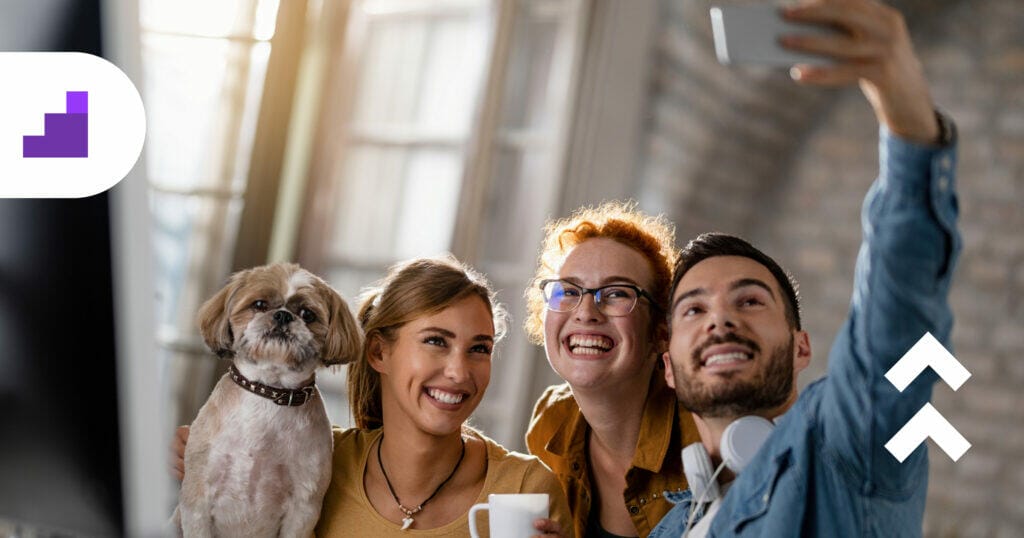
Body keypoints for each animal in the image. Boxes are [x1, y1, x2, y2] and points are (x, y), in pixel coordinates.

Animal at [169, 262, 358, 536]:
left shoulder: (304, 507)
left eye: (307, 314)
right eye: (259, 304)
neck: (269, 393)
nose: (283, 316)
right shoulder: (198, 497)